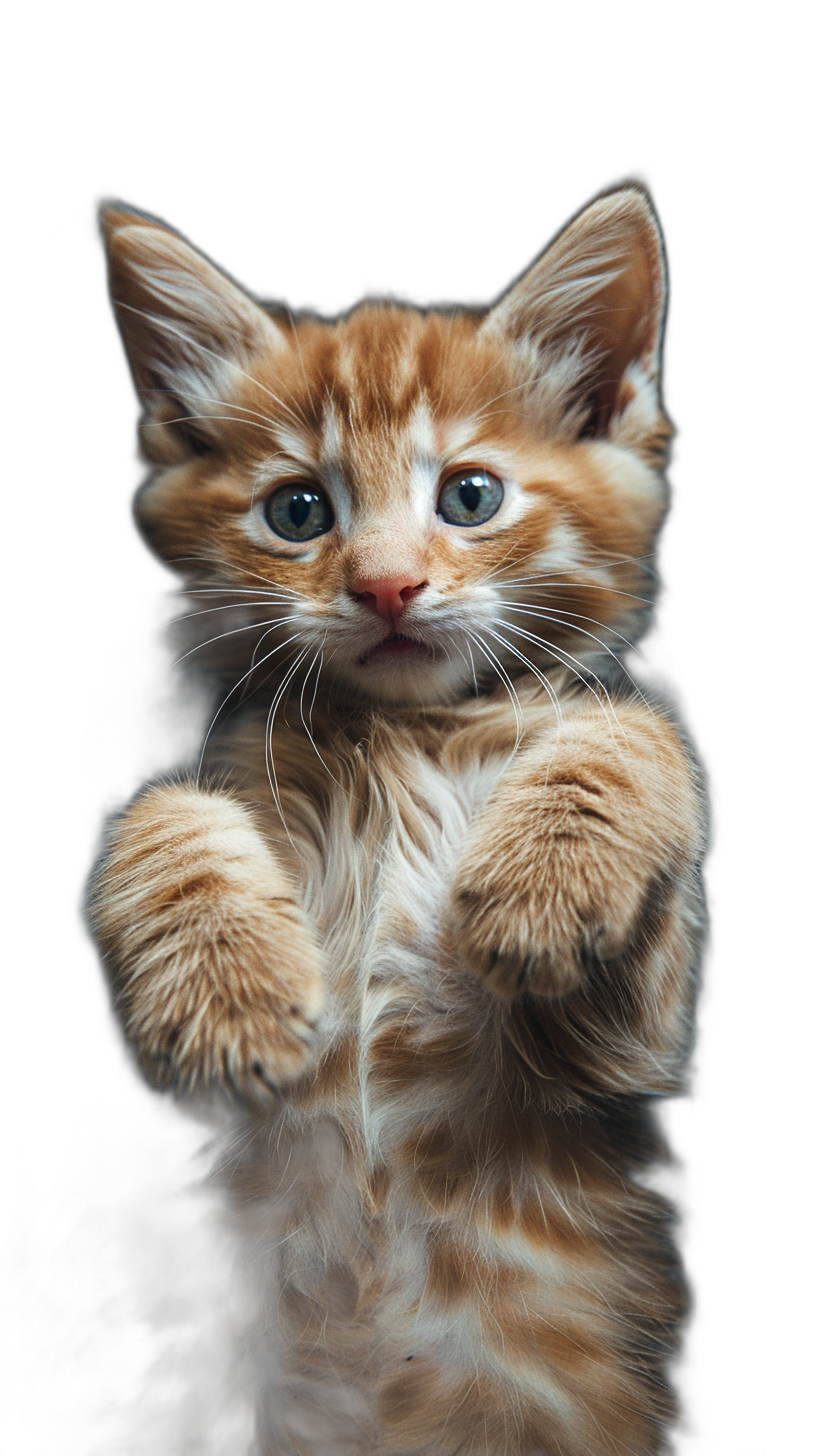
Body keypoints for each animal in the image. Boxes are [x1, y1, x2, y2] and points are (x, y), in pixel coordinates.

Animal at [83, 187, 708, 1450]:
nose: (384, 586)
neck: (397, 741)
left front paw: (543, 886)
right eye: (297, 510)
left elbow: (636, 732)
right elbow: (163, 807)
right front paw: (225, 1001)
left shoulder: (621, 1046)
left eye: (469, 495)